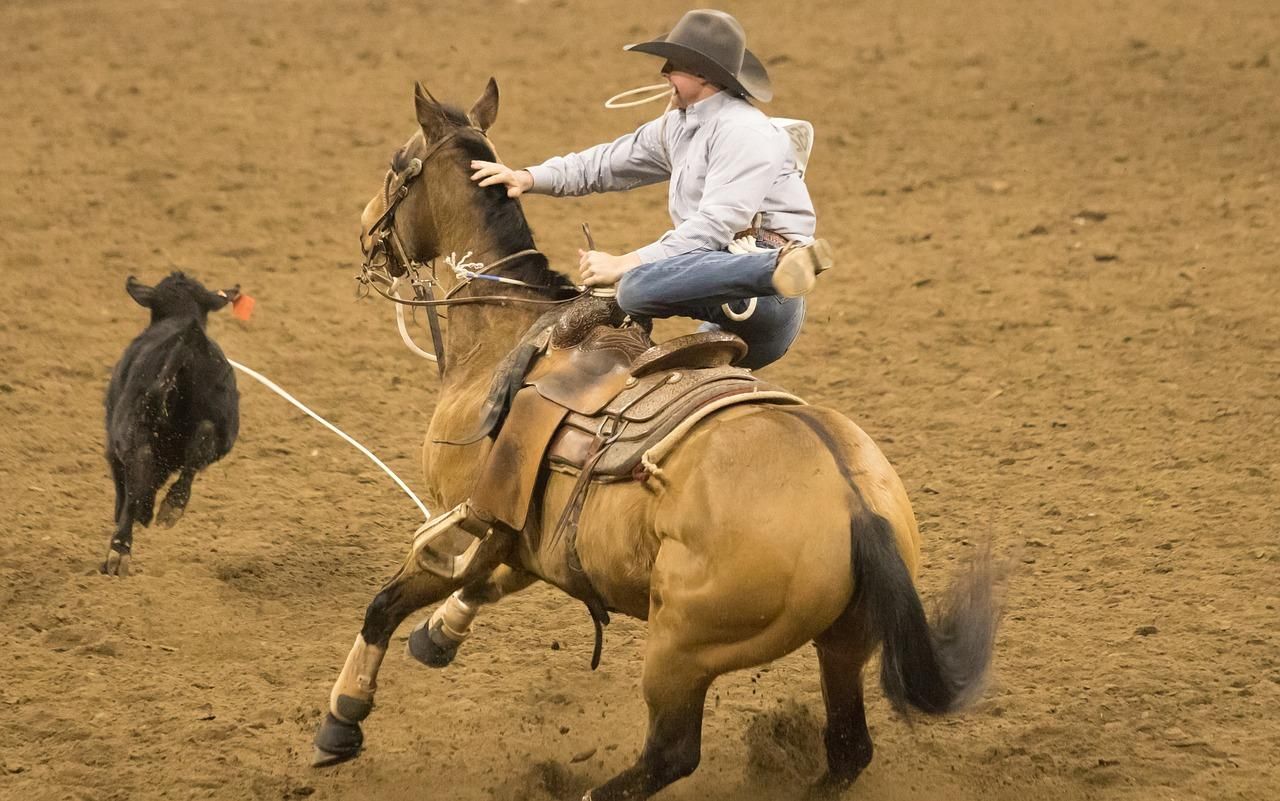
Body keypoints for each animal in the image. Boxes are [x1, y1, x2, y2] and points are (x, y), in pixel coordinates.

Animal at [101, 272, 240, 573]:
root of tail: (187, 341)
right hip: (221, 424)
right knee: (200, 445)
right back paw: (172, 506)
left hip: (131, 431)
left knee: (138, 475)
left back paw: (120, 549)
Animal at [312, 81, 1008, 798]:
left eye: (398, 164)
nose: (365, 230)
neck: (508, 333)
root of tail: (856, 505)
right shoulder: (519, 533)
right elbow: (485, 582)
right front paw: (439, 633)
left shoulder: (467, 516)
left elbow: (385, 604)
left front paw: (344, 716)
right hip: (844, 641)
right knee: (847, 748)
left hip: (682, 647)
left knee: (672, 752)